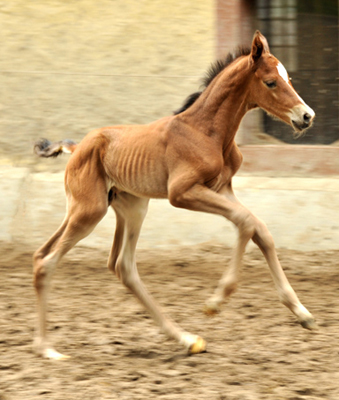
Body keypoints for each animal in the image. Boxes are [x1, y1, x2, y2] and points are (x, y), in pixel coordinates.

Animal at [33, 32, 318, 360]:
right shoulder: (182, 193)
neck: (206, 131)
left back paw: (187, 339)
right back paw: (47, 349)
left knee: (118, 265)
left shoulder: (222, 188)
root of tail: (77, 146)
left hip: (128, 207)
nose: (306, 116)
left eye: (289, 78)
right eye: (271, 82)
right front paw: (216, 301)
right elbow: (247, 222)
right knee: (48, 261)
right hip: (90, 211)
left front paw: (302, 313)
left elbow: (261, 230)